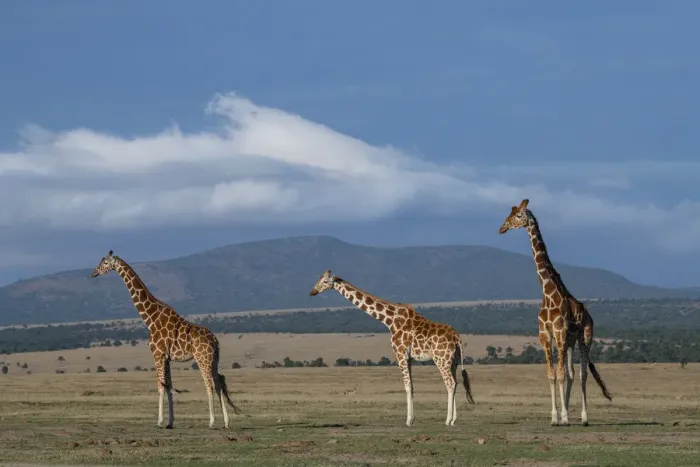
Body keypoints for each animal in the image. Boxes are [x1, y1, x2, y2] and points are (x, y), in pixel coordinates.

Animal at [91, 250, 240, 429]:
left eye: (105, 262)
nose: (94, 273)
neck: (150, 318)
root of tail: (215, 340)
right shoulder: (167, 358)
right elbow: (169, 387)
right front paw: (170, 422)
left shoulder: (158, 354)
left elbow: (160, 386)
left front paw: (160, 421)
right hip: (214, 359)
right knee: (219, 383)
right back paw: (226, 422)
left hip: (202, 358)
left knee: (209, 384)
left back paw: (211, 422)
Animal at [309, 269, 475, 427]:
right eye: (318, 279)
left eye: (325, 281)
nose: (313, 292)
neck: (390, 320)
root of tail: (457, 338)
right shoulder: (408, 357)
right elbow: (412, 386)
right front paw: (412, 418)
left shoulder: (400, 353)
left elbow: (407, 386)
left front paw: (409, 420)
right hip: (453, 361)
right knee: (456, 382)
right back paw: (453, 420)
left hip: (441, 359)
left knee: (450, 383)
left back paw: (447, 420)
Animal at [498, 199, 612, 426]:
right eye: (510, 213)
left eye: (518, 215)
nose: (502, 228)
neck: (548, 291)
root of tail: (589, 316)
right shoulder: (545, 335)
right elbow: (552, 374)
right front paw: (555, 417)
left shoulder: (559, 333)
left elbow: (560, 374)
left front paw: (565, 417)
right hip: (569, 343)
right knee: (571, 372)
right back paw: (567, 412)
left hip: (584, 337)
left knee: (583, 373)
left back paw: (583, 417)